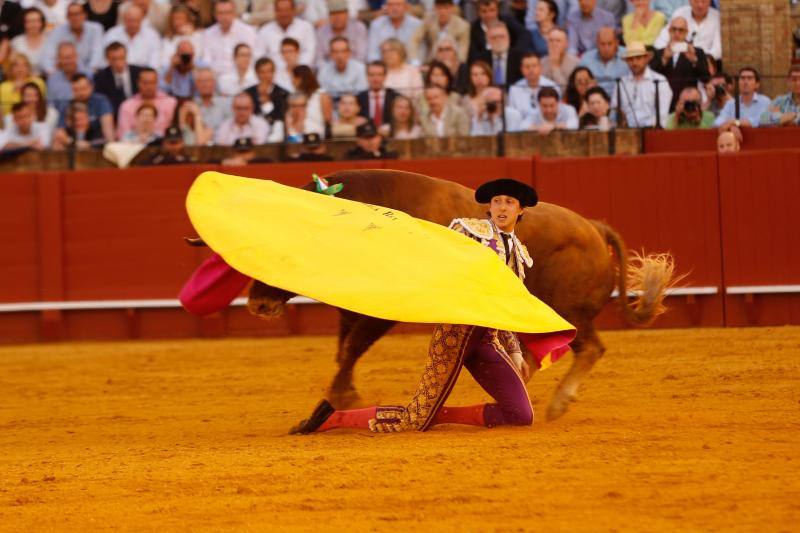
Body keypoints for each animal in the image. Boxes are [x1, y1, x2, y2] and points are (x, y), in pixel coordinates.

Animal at [248, 169, 676, 420]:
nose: (255, 303)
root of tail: (594, 227)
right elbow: (345, 348)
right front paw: (345, 392)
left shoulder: (386, 306)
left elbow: (353, 346)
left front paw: (342, 396)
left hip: (566, 310)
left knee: (589, 347)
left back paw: (557, 404)